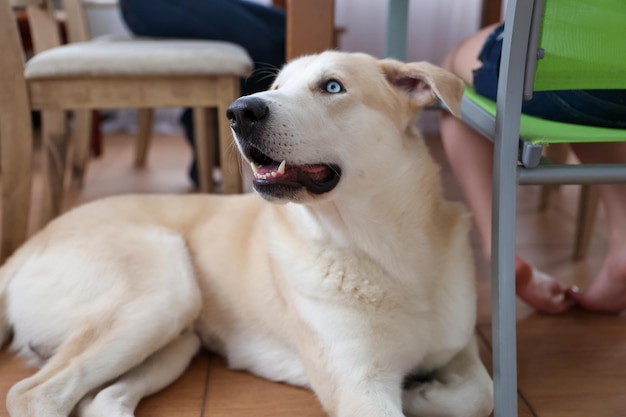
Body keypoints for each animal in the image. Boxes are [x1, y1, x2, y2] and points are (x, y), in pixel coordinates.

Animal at [0, 52, 490, 416]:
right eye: (274, 88)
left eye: (332, 87)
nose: (239, 111)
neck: (386, 250)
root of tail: (23, 249)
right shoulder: (359, 386)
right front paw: (416, 391)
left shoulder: (461, 347)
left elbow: (480, 395)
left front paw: (422, 391)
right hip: (160, 294)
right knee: (32, 393)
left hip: (176, 341)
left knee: (99, 400)